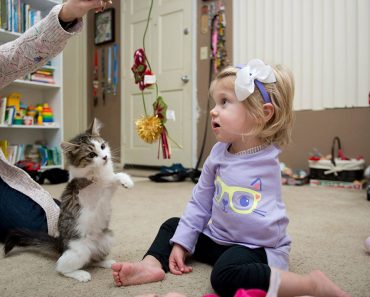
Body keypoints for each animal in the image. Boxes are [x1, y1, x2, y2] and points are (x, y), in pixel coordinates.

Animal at [3, 117, 134, 280]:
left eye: (103, 146)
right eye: (91, 155)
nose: (105, 157)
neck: (99, 172)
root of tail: (60, 244)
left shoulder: (107, 189)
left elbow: (114, 177)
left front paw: (126, 181)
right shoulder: (83, 189)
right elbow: (99, 180)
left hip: (107, 239)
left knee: (93, 259)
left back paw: (106, 262)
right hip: (79, 251)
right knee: (61, 268)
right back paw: (81, 275)